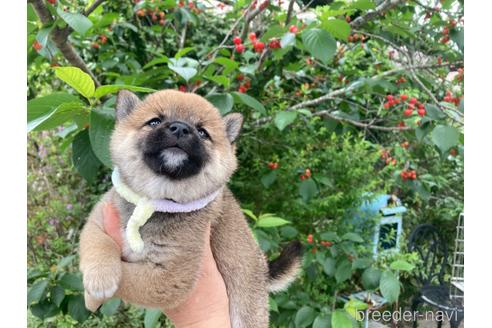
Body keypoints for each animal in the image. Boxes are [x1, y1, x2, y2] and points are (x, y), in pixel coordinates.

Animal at [79, 89, 302, 328]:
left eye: (202, 132)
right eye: (154, 121)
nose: (180, 127)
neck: (156, 200)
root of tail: (263, 271)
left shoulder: (170, 277)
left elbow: (127, 277)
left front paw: (96, 293)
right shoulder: (97, 220)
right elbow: (99, 244)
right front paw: (99, 276)